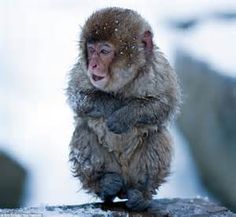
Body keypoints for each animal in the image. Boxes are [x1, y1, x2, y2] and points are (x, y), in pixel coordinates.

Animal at [66, 7, 181, 211]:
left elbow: (164, 104)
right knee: (83, 131)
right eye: (91, 50)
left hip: (134, 174)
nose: (93, 64)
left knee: (157, 135)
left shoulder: (159, 69)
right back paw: (105, 186)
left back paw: (142, 195)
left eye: (104, 51)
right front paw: (115, 105)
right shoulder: (82, 71)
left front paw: (123, 116)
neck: (124, 80)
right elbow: (77, 95)